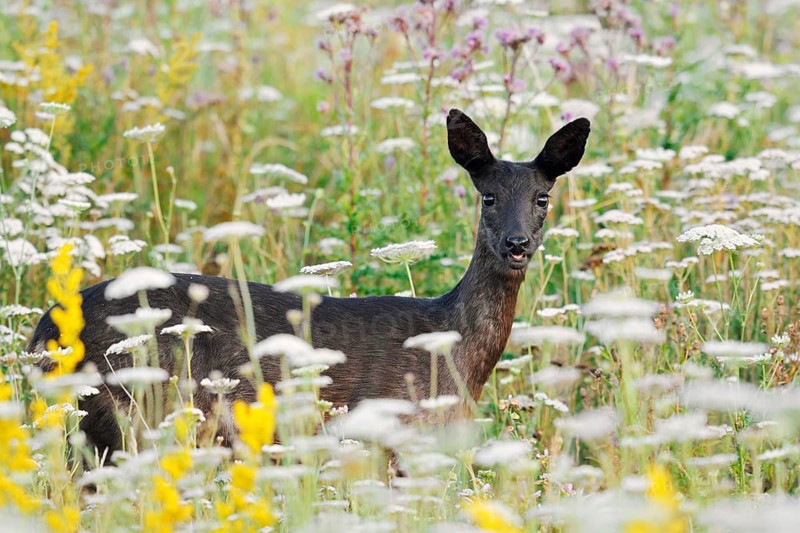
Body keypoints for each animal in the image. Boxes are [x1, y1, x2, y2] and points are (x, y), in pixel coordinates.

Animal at [29, 109, 590, 459]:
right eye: (488, 196)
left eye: (542, 196)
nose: (517, 243)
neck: (454, 351)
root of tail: (42, 334)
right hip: (127, 411)